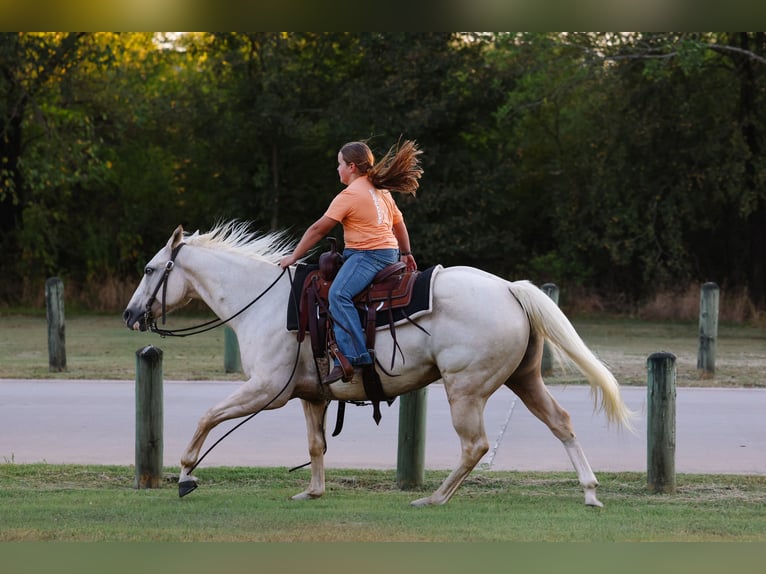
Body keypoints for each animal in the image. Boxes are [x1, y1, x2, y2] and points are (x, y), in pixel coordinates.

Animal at [123, 221, 634, 507]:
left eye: (149, 270)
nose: (130, 314)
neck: (261, 302)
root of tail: (510, 288)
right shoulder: (311, 395)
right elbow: (315, 446)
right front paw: (313, 492)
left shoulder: (268, 389)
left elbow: (208, 417)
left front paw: (186, 475)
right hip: (524, 380)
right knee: (561, 422)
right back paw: (590, 493)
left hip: (466, 389)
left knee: (476, 446)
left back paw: (434, 498)